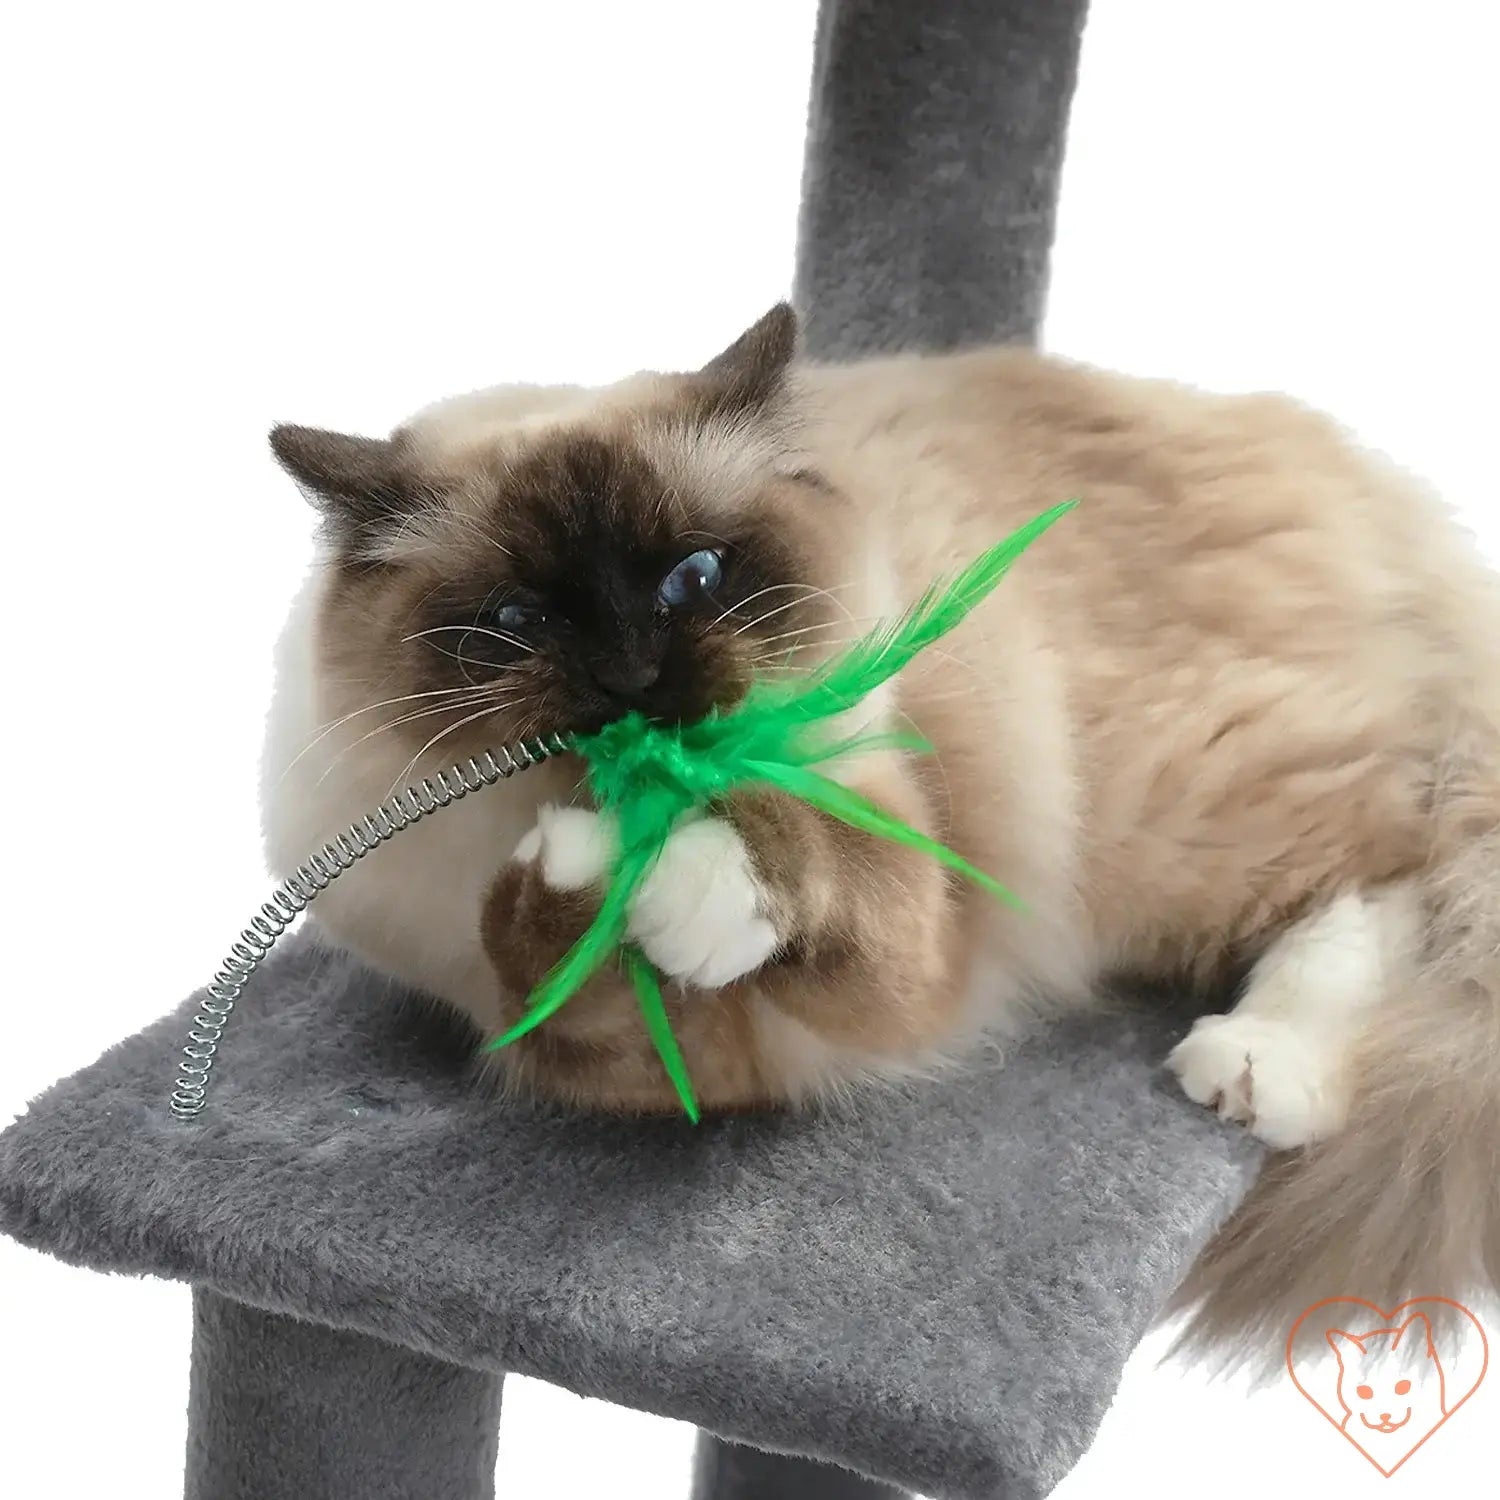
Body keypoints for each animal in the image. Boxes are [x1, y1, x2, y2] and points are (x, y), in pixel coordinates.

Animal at [264, 304, 1500, 1362]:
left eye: (692, 577)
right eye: (518, 622)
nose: (629, 679)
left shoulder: (907, 931)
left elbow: (801, 854)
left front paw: (689, 870)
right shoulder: (653, 1055)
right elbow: (560, 962)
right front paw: (588, 871)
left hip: (1180, 806)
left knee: (1391, 870)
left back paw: (1253, 1066)